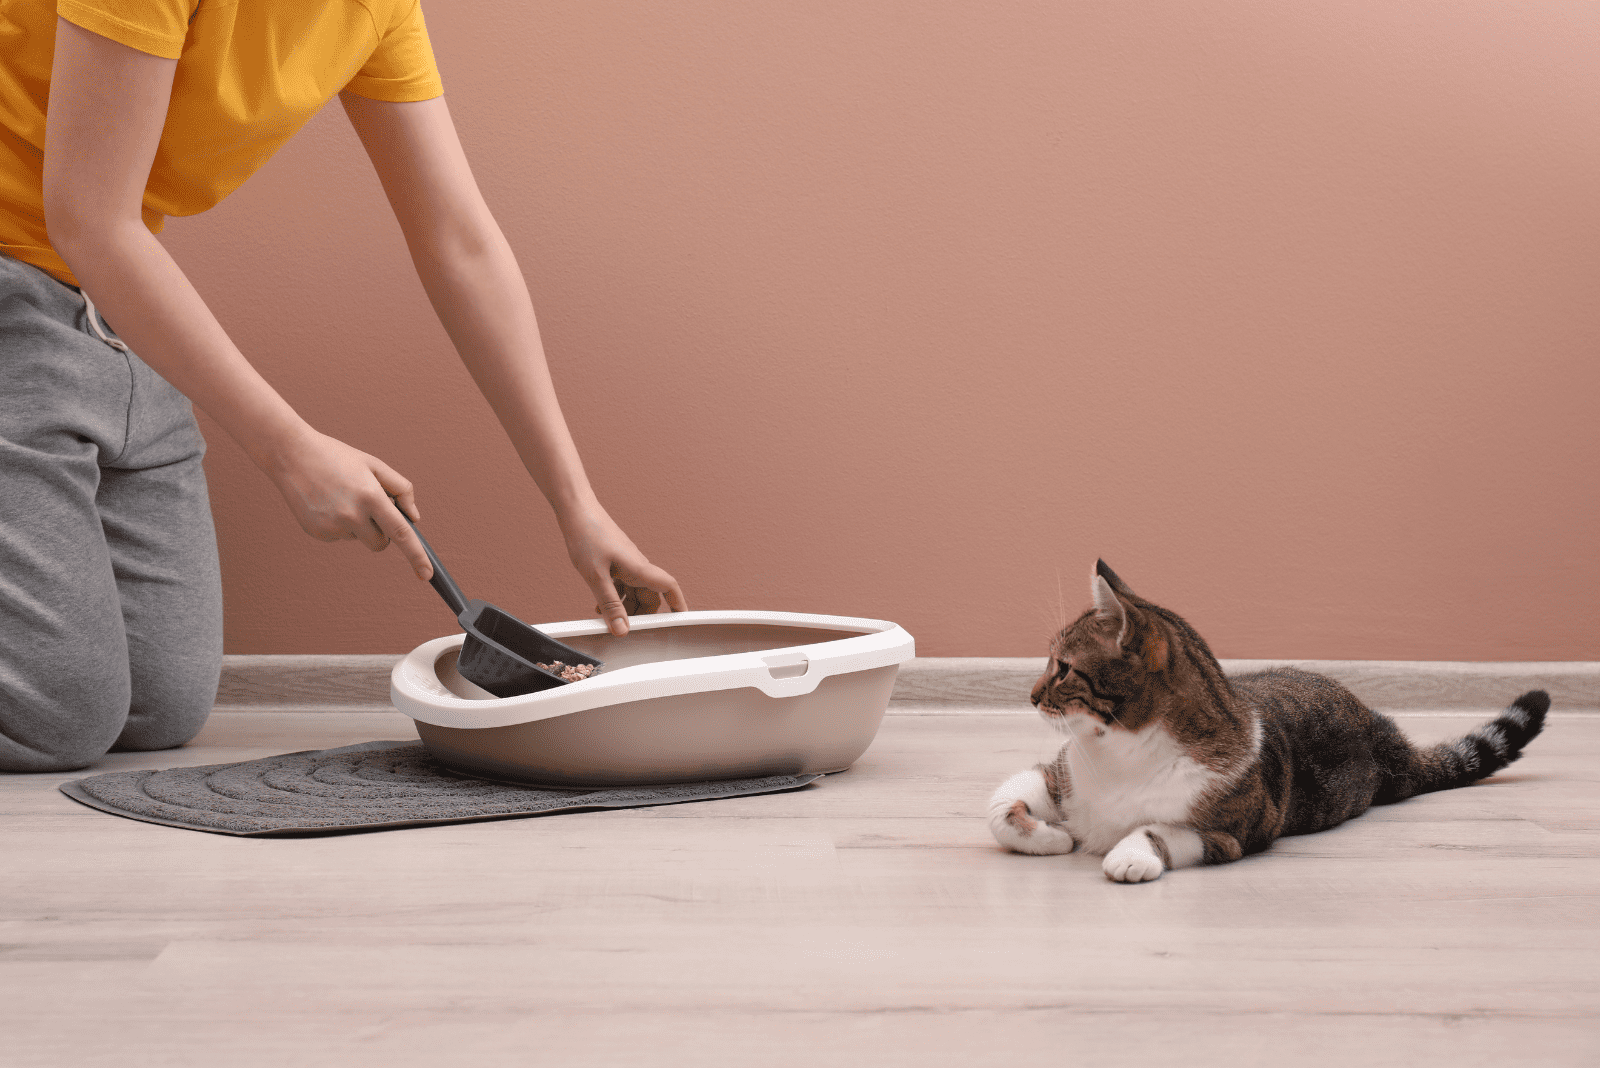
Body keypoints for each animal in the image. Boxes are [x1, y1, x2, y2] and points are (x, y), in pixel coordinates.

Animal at [985, 562, 1548, 882]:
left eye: (1062, 668)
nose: (1030, 696)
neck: (1122, 752)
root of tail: (1386, 737)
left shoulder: (1236, 831)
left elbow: (1160, 829)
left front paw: (1130, 855)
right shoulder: (1059, 771)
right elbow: (997, 806)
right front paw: (1053, 837)